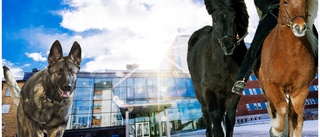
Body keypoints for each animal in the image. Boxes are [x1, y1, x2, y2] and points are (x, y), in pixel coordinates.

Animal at [186, 0, 249, 136]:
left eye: (234, 17)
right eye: (214, 20)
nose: (228, 45)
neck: (223, 64)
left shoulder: (234, 92)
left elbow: (230, 118)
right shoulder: (209, 89)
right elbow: (215, 115)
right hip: (200, 92)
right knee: (206, 114)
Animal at [255, 0, 318, 136]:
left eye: (305, 2)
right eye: (285, 2)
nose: (299, 27)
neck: (290, 53)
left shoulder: (301, 89)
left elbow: (297, 121)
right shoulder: (272, 85)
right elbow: (282, 108)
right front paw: (276, 129)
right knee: (273, 108)